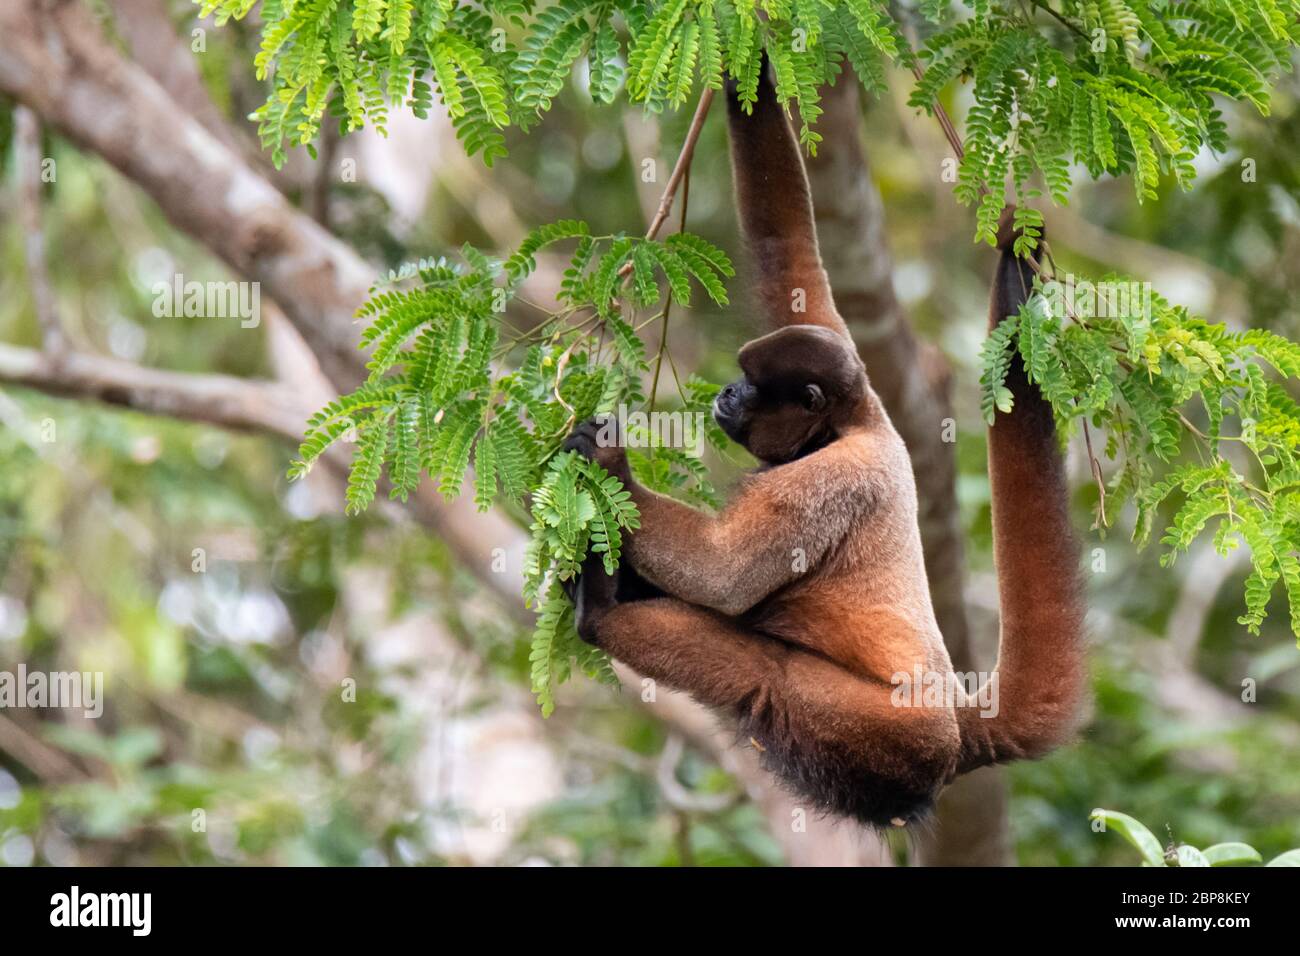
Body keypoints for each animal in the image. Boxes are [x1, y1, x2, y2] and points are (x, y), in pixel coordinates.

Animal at [564, 63, 1081, 832]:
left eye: (752, 385)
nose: (725, 392)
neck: (846, 424)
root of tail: (960, 729)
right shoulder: (846, 359)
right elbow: (789, 253)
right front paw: (746, 57)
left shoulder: (833, 477)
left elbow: (723, 575)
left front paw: (606, 461)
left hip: (890, 733)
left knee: (765, 675)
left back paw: (600, 612)